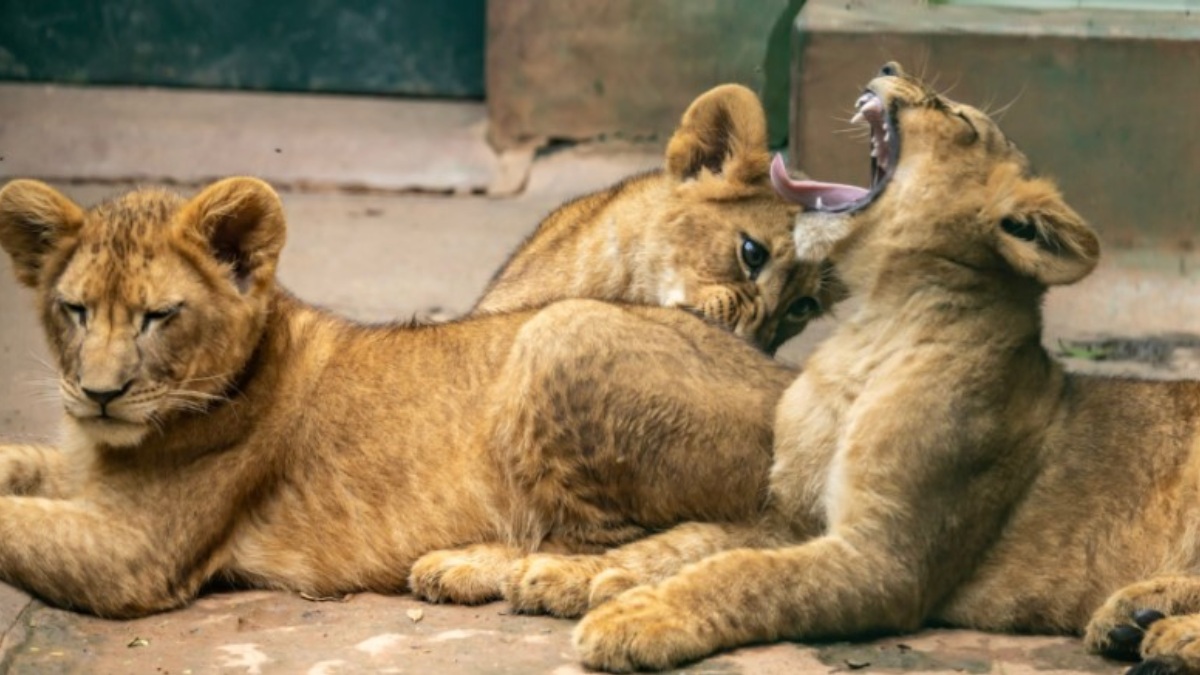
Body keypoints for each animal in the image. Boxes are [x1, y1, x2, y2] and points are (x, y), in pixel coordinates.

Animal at [0, 175, 796, 618]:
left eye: (158, 316)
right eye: (74, 310)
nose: (99, 393)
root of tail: (787, 379)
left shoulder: (137, 552)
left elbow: (12, 522)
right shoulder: (87, 477)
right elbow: (19, 464)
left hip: (560, 328)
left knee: (689, 531)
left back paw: (544, 579)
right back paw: (464, 567)